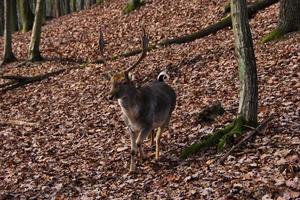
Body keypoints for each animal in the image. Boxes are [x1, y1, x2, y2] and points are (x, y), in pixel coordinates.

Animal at [100, 27, 176, 173]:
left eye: (124, 82)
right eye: (111, 82)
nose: (109, 96)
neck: (134, 117)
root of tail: (163, 82)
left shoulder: (147, 124)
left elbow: (139, 142)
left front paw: (144, 158)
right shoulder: (130, 128)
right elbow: (132, 149)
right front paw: (132, 169)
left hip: (168, 115)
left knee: (158, 137)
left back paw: (157, 156)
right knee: (154, 134)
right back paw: (151, 146)